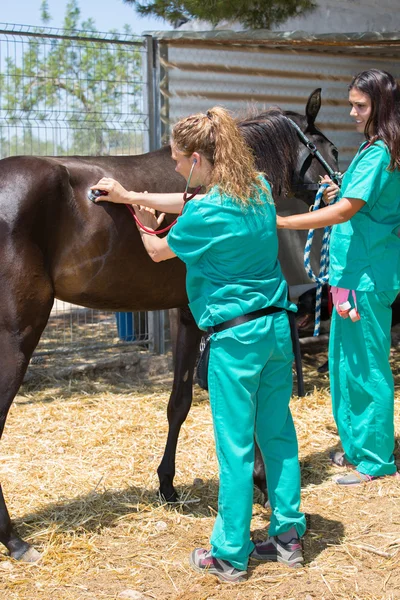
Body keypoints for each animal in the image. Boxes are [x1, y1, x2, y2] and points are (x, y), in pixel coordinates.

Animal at [0, 90, 338, 564]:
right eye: (332, 150)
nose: (341, 186)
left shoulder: (183, 314)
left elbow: (178, 403)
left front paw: (167, 486)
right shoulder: (196, 316)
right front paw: (260, 482)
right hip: (17, 338)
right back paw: (14, 539)